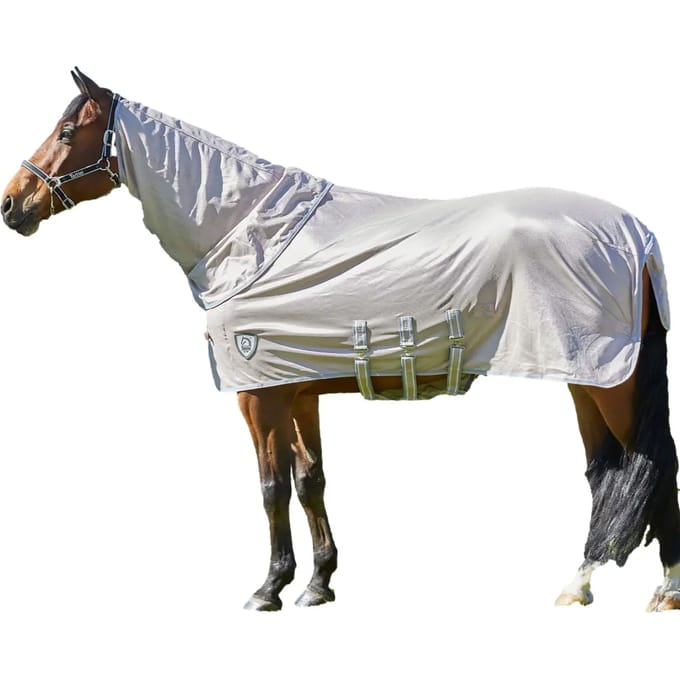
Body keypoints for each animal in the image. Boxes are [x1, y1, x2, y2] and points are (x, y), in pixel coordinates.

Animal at [3, 68, 680, 612]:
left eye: (67, 131)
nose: (12, 205)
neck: (248, 235)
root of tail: (638, 236)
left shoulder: (260, 398)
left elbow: (272, 488)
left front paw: (268, 588)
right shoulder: (297, 390)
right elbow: (311, 481)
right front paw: (318, 584)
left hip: (609, 382)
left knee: (657, 464)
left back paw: (665, 591)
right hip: (584, 378)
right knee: (604, 472)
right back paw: (578, 585)